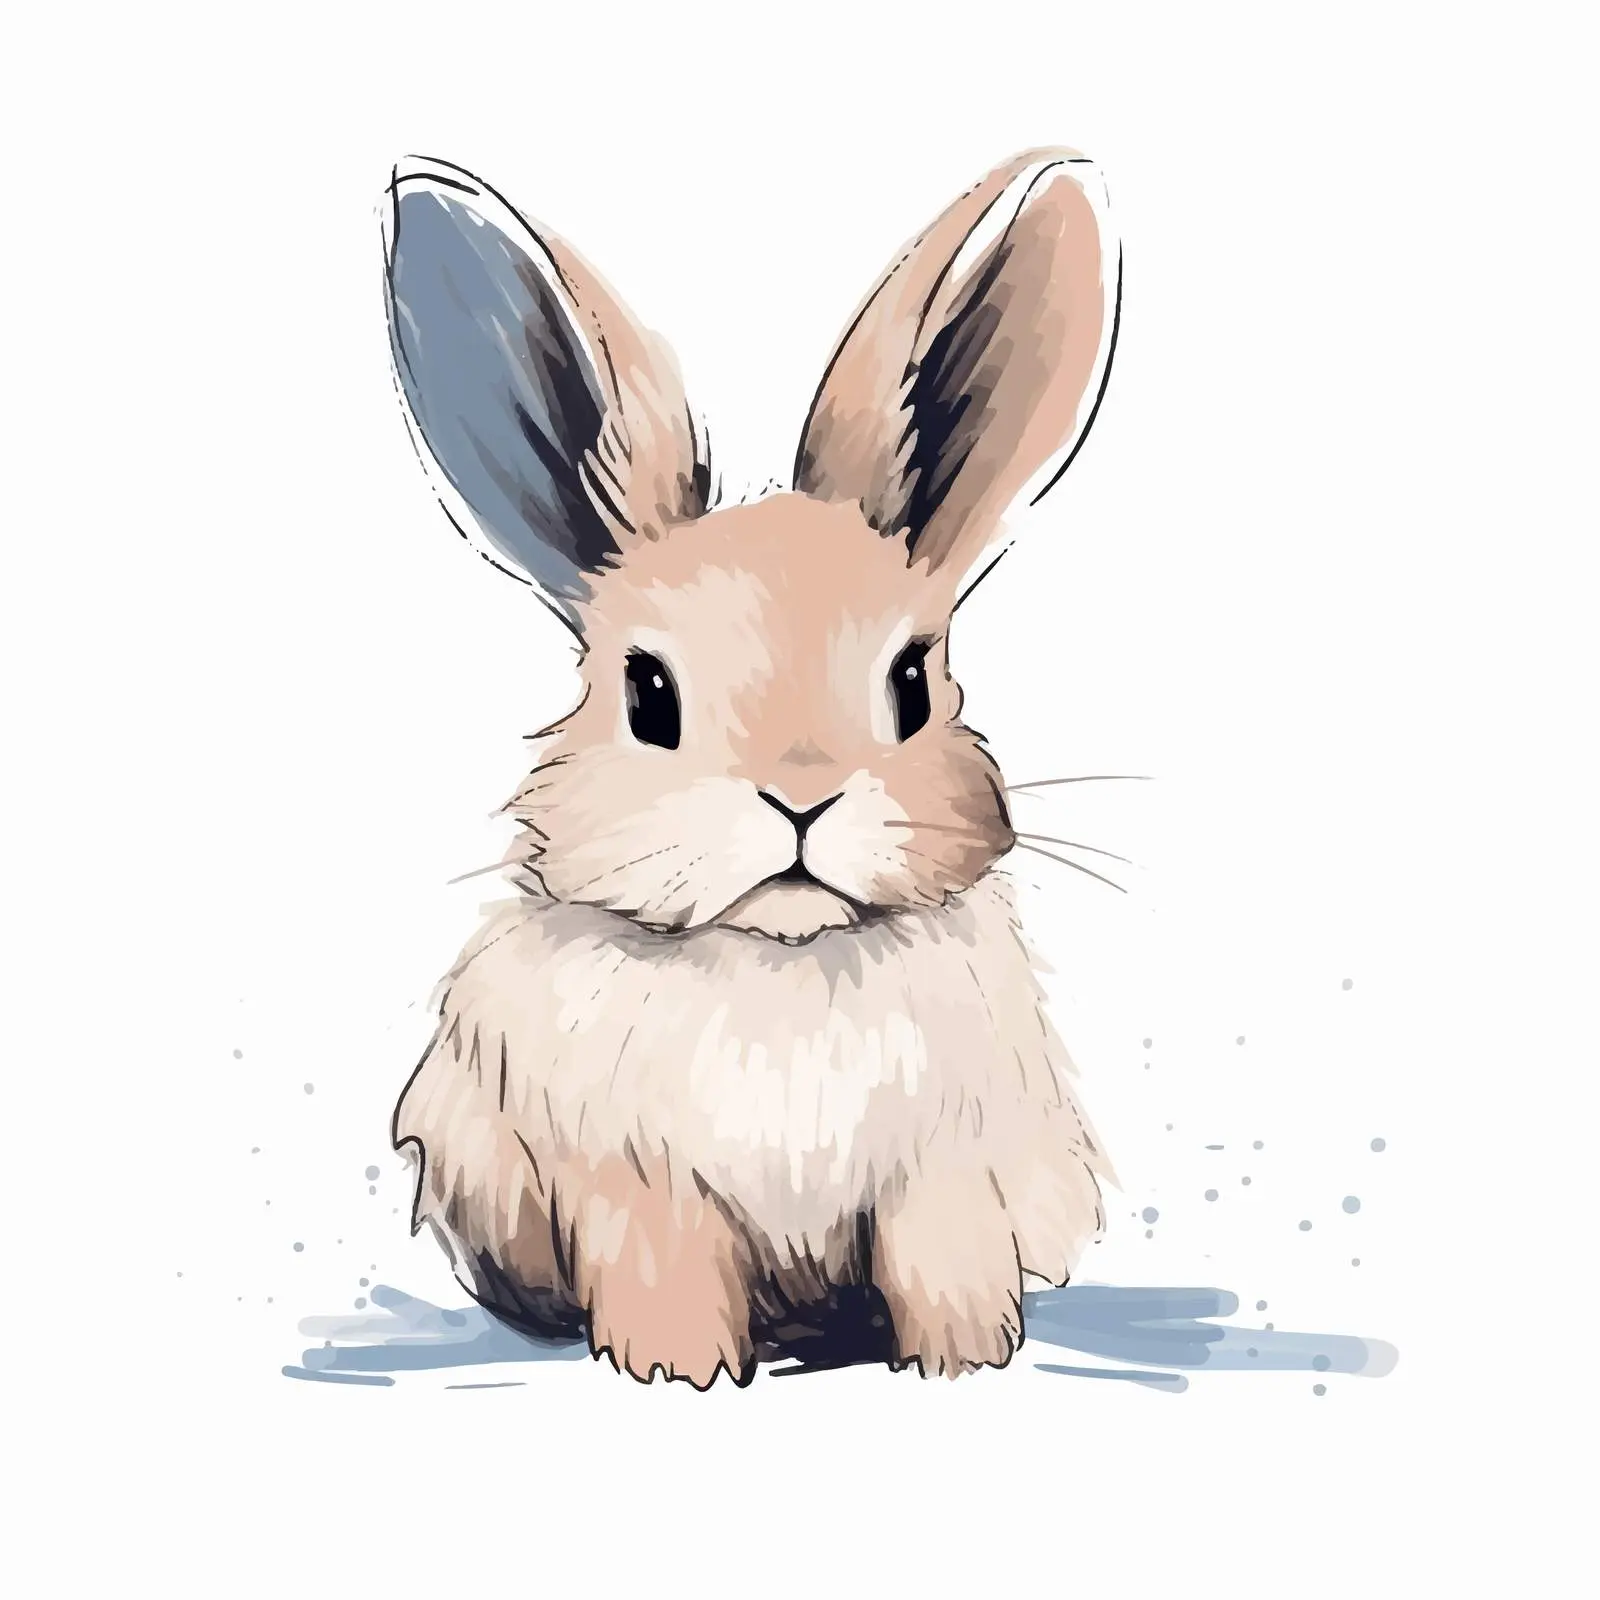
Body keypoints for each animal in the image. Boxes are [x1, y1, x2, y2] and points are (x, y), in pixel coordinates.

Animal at [382, 147, 1122, 1386]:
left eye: (911, 681)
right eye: (647, 692)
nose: (801, 798)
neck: (782, 960)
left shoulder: (944, 1175)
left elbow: (944, 1272)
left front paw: (963, 1364)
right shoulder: (635, 1189)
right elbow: (668, 1278)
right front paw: (676, 1373)